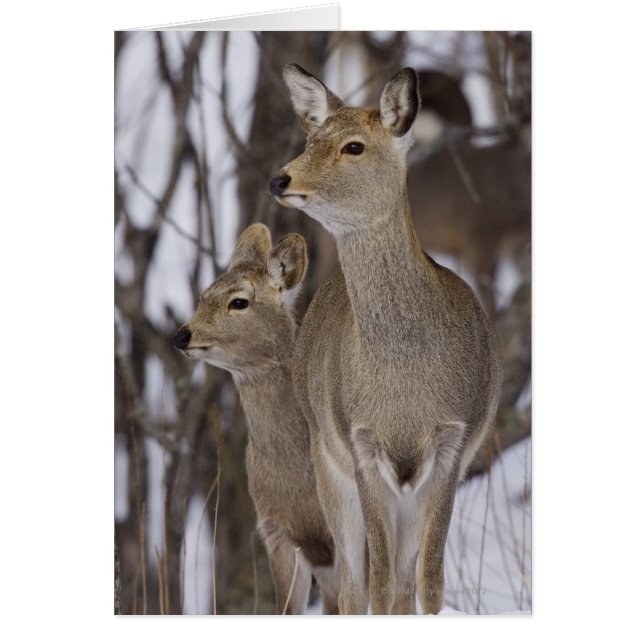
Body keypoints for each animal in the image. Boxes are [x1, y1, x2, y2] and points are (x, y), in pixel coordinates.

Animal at [269, 64, 502, 614]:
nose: (279, 178)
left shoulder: (454, 443)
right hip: (327, 464)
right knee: (353, 586)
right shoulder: (360, 445)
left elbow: (428, 583)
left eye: (354, 146)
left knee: (397, 582)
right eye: (310, 139)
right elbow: (373, 584)